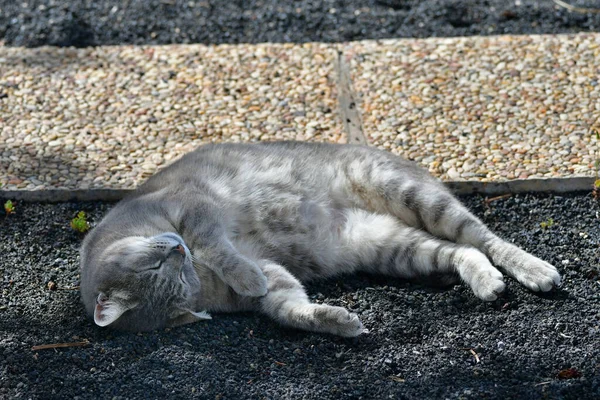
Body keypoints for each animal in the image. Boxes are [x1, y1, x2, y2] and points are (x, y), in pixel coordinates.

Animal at [78, 142, 556, 336]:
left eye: (158, 261)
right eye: (174, 278)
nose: (179, 250)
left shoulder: (194, 208)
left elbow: (219, 247)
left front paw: (240, 273)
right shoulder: (272, 276)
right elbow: (290, 308)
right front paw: (336, 321)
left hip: (411, 195)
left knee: (485, 238)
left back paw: (534, 270)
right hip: (388, 246)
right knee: (463, 250)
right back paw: (484, 280)